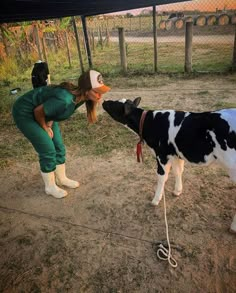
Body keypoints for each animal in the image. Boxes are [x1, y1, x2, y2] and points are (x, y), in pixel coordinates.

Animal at [102, 97, 236, 232]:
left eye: (114, 104)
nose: (104, 101)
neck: (150, 122)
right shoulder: (175, 154)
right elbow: (178, 171)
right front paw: (177, 191)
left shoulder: (162, 155)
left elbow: (162, 177)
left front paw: (156, 199)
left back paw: (233, 227)